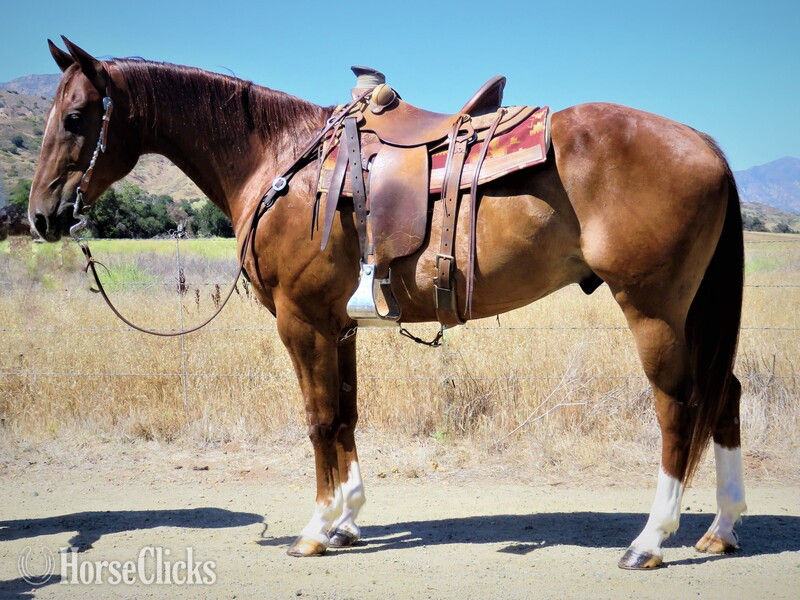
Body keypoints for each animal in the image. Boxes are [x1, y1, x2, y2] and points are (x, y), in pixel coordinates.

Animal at [29, 38, 746, 569]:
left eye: (74, 118)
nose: (39, 216)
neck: (279, 161)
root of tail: (706, 144)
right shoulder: (338, 325)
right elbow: (346, 414)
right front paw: (347, 517)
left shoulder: (301, 321)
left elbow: (319, 419)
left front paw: (316, 529)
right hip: (692, 311)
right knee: (725, 395)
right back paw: (721, 529)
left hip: (652, 307)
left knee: (679, 405)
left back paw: (650, 541)